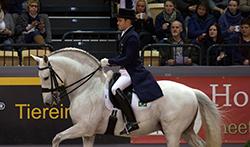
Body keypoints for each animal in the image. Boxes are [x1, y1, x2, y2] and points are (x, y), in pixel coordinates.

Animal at [31, 48, 223, 147]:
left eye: (46, 77)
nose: (48, 102)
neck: (88, 87)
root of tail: (191, 90)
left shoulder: (83, 127)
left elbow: (57, 137)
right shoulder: (88, 133)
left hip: (173, 131)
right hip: (186, 130)